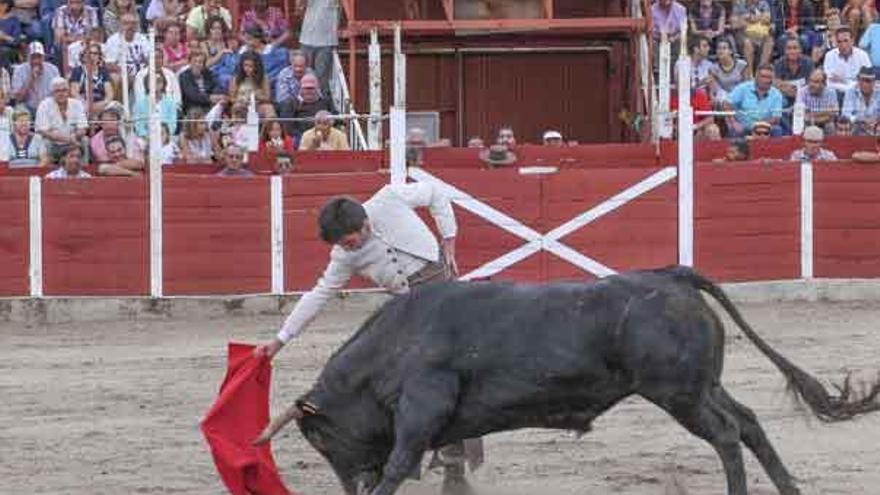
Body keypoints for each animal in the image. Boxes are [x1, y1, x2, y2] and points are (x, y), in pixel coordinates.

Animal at [256, 268, 880, 495]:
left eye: (319, 438)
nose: (348, 487)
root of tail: (671, 276)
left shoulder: (421, 409)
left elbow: (397, 464)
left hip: (678, 394)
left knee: (727, 434)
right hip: (701, 386)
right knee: (747, 424)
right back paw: (789, 488)